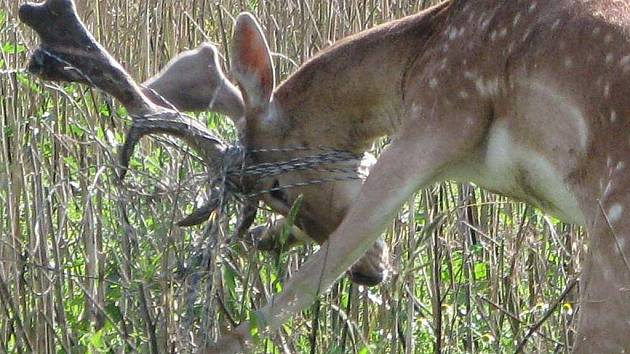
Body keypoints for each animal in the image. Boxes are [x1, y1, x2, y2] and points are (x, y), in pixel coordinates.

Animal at [17, 0, 630, 352]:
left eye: (276, 189)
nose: (371, 275)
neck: (416, 59)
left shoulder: (439, 114)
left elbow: (293, 293)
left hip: (613, 224)